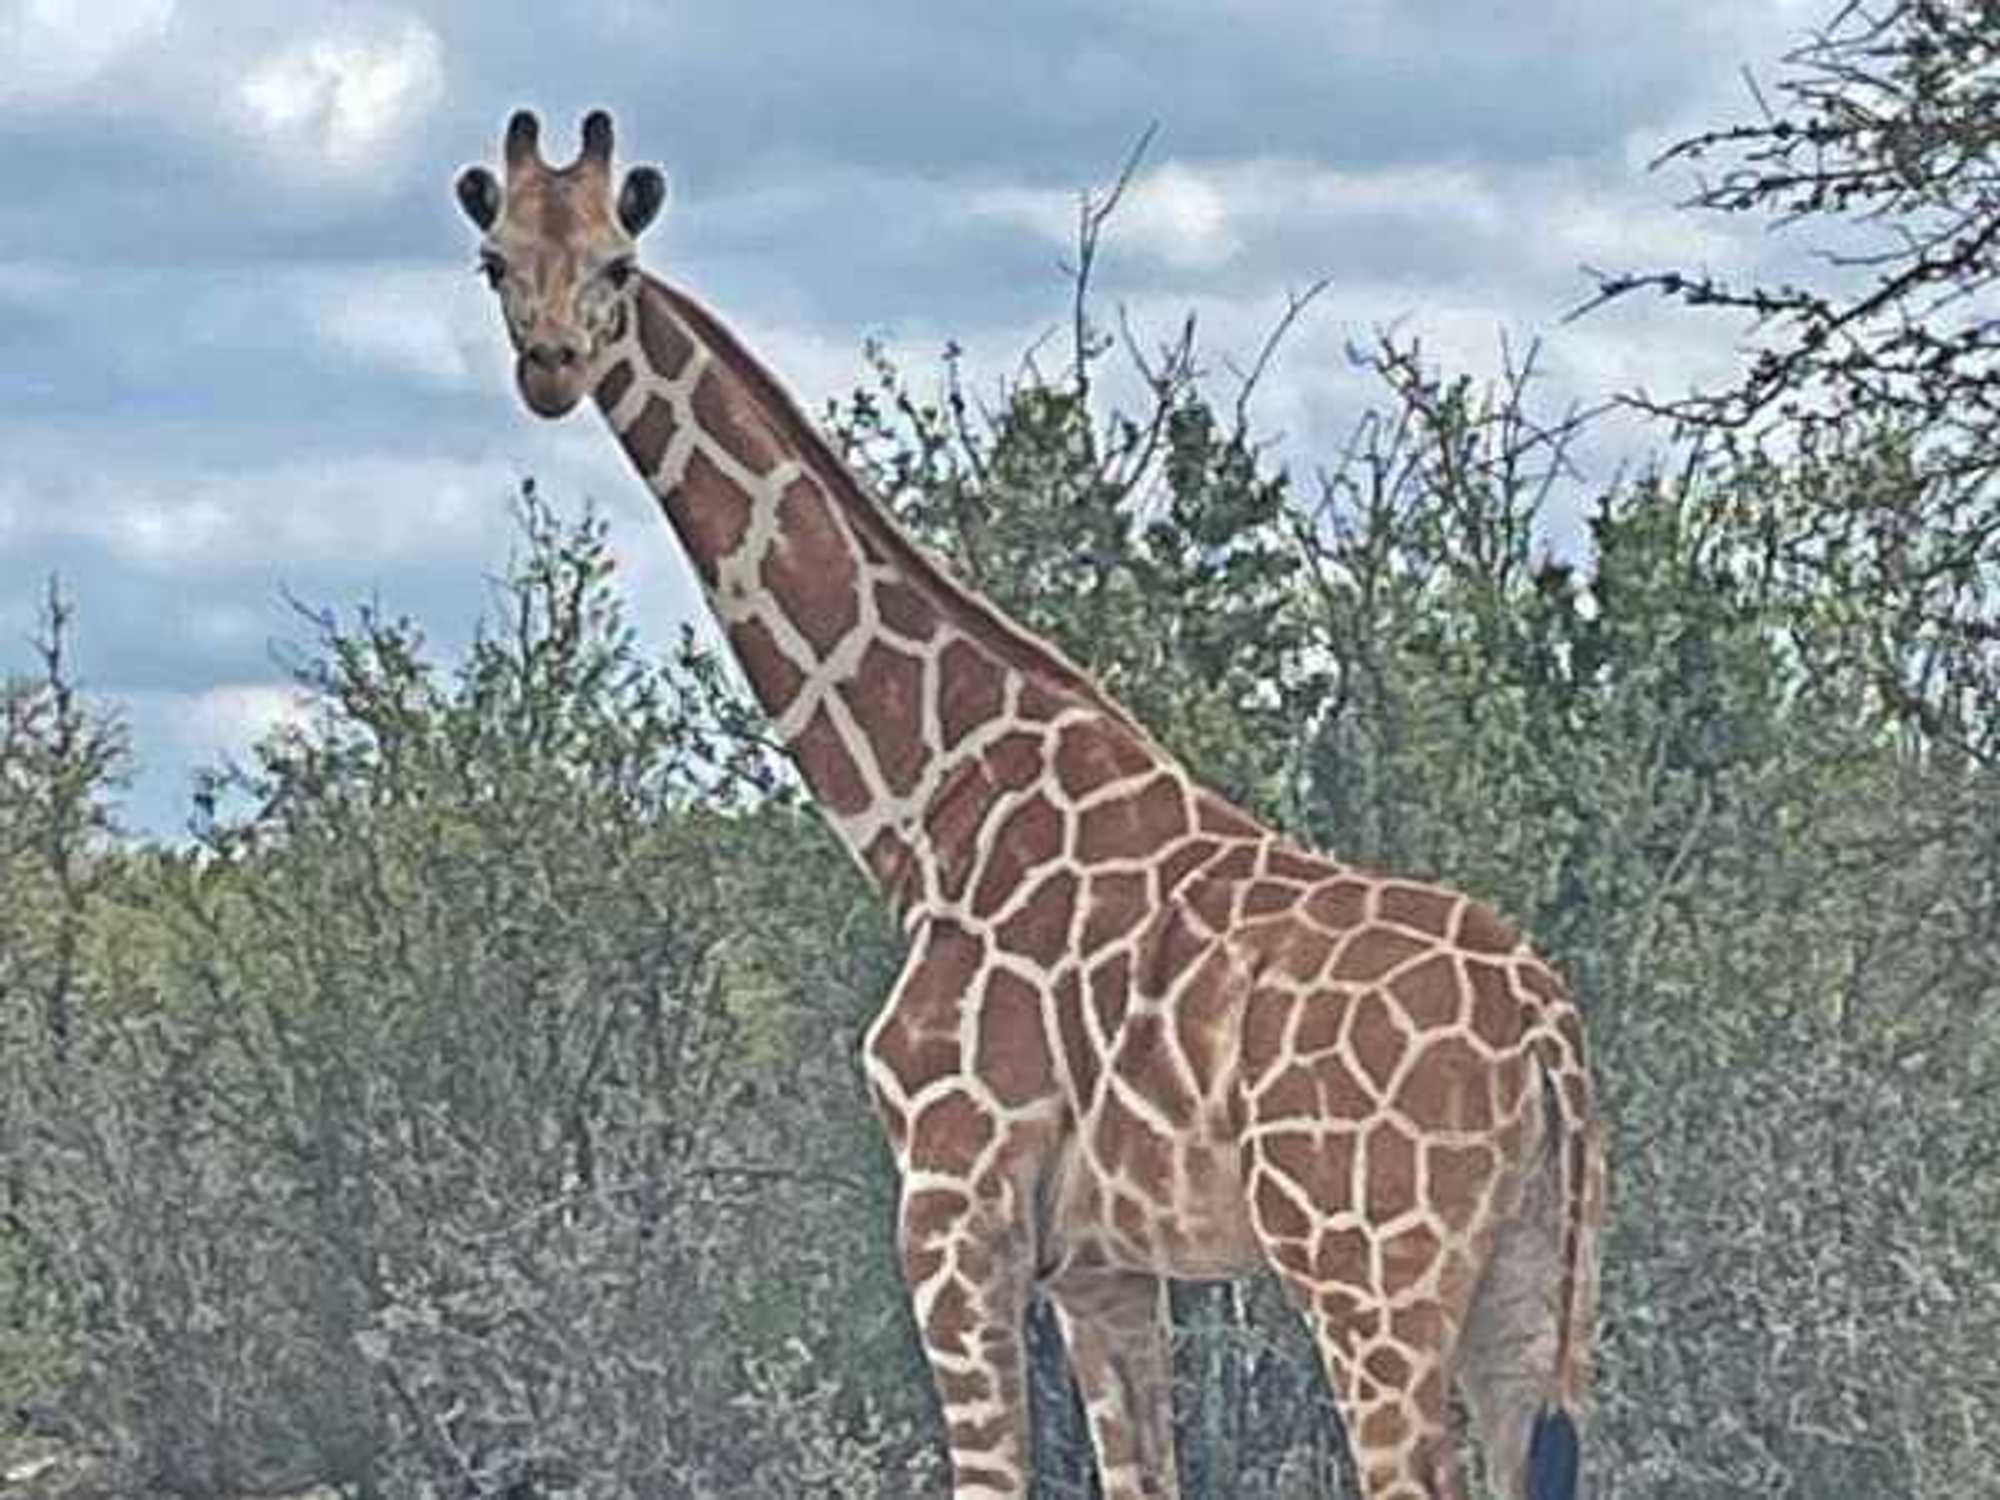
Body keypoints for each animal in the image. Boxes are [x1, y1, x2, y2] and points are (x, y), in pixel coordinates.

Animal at [455, 111, 1605, 1500]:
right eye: (495, 261)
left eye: (618, 265)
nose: (551, 367)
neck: (928, 805)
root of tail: (1547, 1033)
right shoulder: (1101, 1263)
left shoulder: (953, 1201)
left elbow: (989, 1475)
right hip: (1532, 1288)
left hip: (1369, 1269)